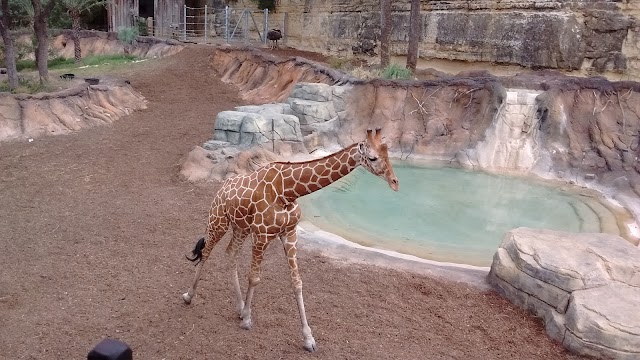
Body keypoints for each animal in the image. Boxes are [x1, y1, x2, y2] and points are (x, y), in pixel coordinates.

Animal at [182, 127, 398, 352]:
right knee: (206, 252)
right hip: (218, 221)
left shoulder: (289, 233)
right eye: (372, 157)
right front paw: (248, 320)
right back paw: (189, 296)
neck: (288, 190)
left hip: (241, 227)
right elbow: (254, 277)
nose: (395, 182)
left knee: (231, 253)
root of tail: (222, 188)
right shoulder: (263, 234)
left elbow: (297, 282)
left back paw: (239, 307)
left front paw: (309, 339)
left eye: (387, 153)